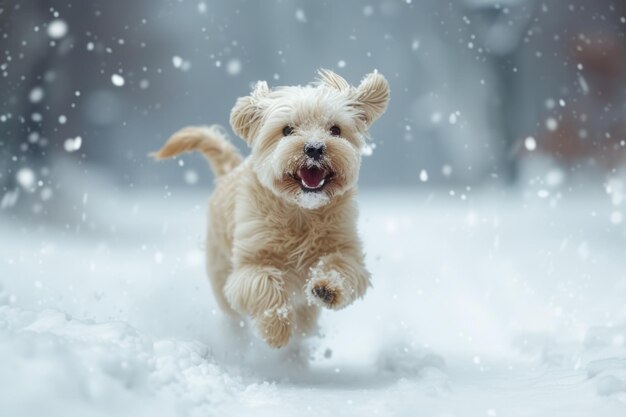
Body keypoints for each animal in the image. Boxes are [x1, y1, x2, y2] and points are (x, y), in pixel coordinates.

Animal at [154, 69, 388, 348]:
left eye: (335, 129)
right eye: (287, 129)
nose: (314, 147)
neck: (301, 212)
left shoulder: (347, 248)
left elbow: (341, 266)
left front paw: (326, 287)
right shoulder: (248, 264)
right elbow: (264, 284)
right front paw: (276, 329)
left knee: (306, 320)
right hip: (220, 275)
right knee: (234, 315)